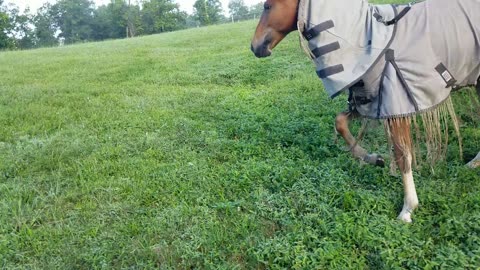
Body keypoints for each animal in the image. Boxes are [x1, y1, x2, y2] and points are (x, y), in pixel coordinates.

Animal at [251, 0, 480, 223]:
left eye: (267, 6)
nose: (254, 46)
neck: (366, 38)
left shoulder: (395, 104)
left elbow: (402, 153)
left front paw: (408, 208)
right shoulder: (369, 100)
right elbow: (340, 122)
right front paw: (371, 158)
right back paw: (473, 163)